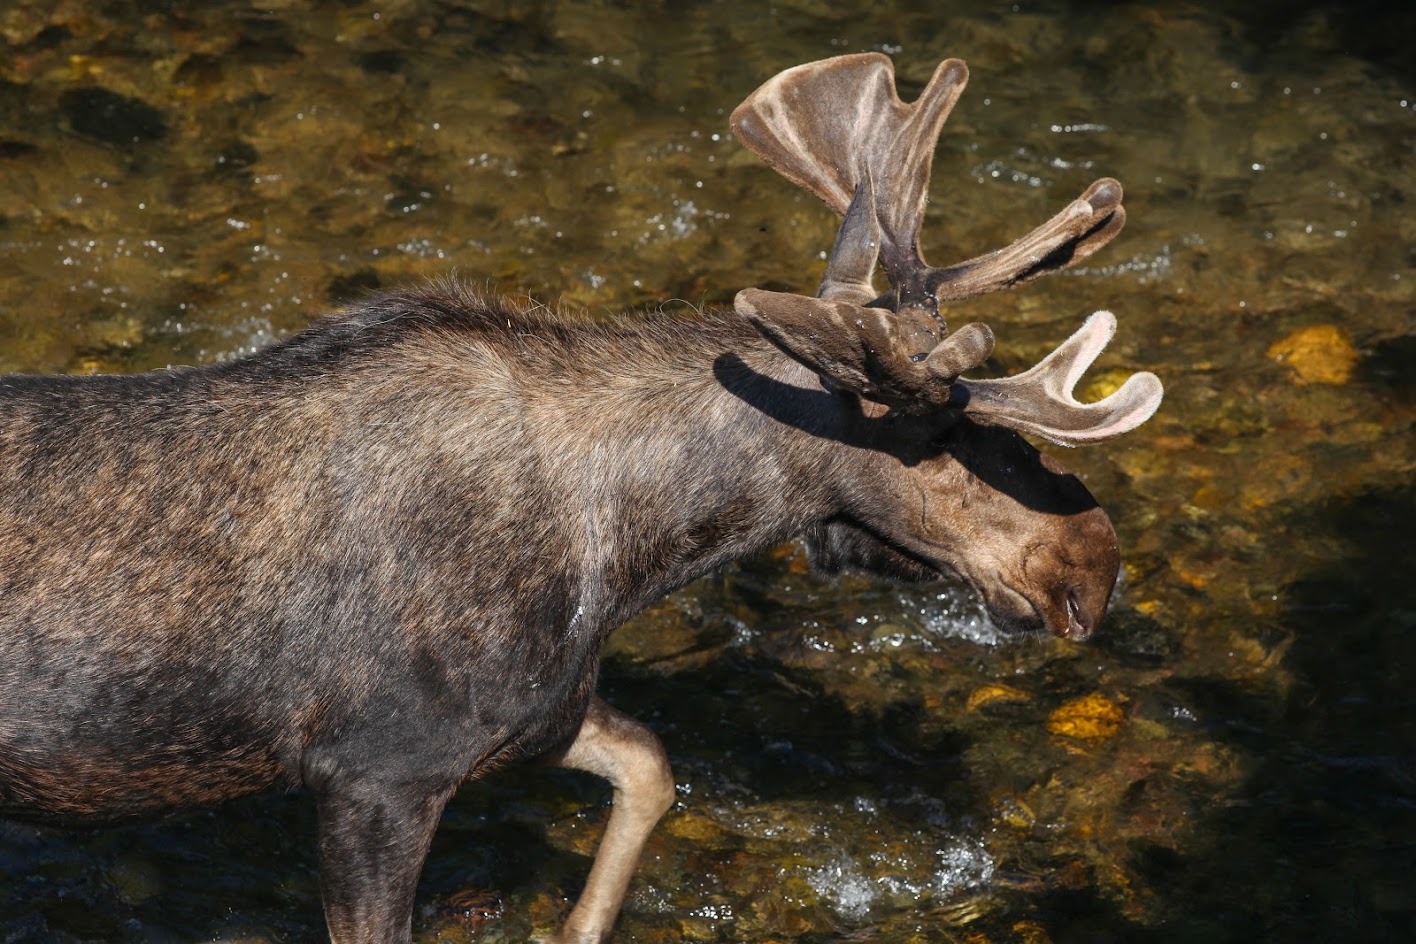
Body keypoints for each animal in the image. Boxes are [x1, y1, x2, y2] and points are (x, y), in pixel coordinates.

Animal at [0, 53, 1161, 944]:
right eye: (936, 437)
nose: (1092, 565)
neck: (635, 553)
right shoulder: (376, 771)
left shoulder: (536, 710)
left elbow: (652, 767)